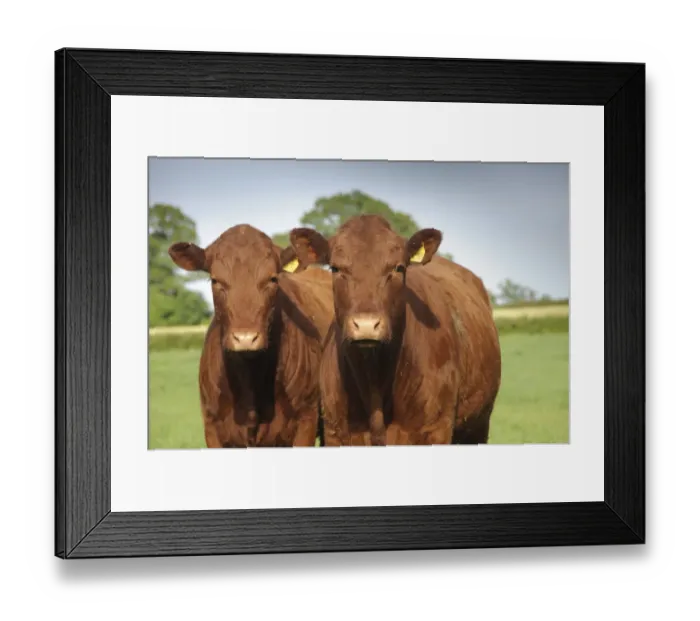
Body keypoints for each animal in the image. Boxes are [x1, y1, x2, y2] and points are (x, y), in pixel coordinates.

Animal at [289, 214, 501, 446]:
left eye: (398, 268)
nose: (366, 325)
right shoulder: (336, 432)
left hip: (478, 426)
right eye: (336, 268)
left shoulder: (437, 429)